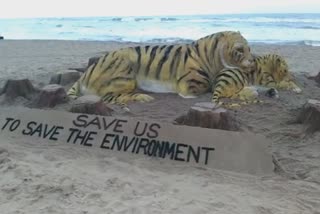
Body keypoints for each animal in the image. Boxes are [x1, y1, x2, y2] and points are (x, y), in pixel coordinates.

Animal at [68, 30, 255, 107]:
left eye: (249, 48)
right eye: (240, 49)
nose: (253, 61)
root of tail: (84, 74)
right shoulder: (190, 87)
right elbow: (212, 90)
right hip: (125, 75)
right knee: (109, 97)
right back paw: (142, 97)